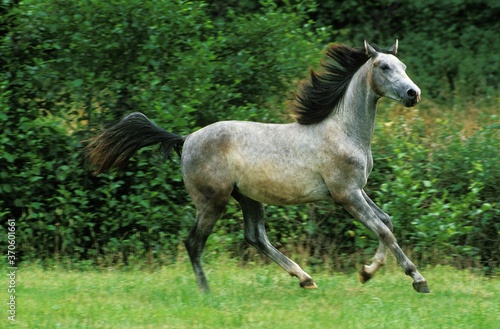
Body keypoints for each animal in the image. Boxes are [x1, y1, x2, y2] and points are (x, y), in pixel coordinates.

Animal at [85, 40, 430, 292]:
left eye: (404, 66)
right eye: (384, 66)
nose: (413, 93)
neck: (344, 131)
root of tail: (186, 139)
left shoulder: (357, 190)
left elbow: (386, 222)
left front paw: (368, 272)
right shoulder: (346, 194)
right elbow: (383, 229)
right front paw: (416, 280)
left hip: (248, 198)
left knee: (255, 237)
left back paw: (305, 279)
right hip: (213, 201)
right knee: (194, 242)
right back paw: (206, 291)